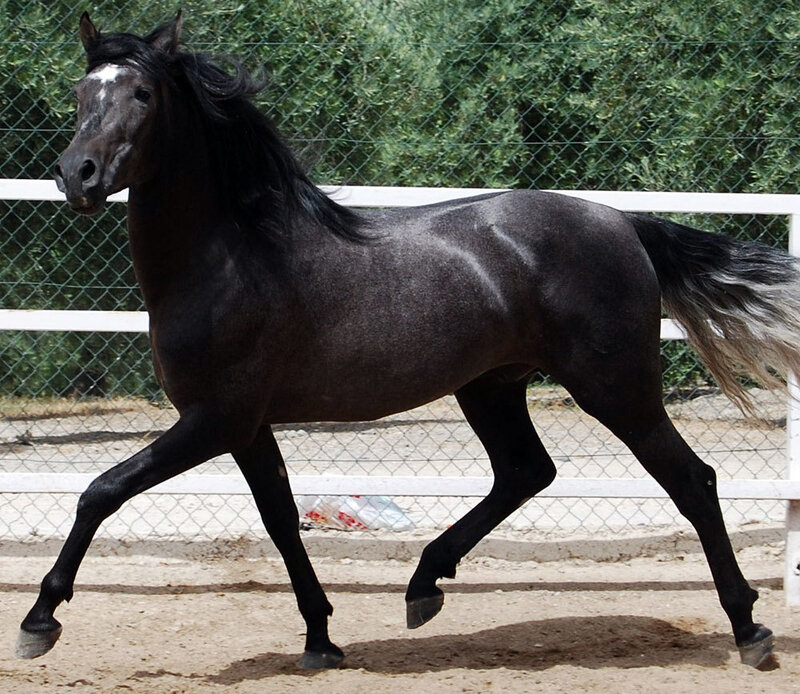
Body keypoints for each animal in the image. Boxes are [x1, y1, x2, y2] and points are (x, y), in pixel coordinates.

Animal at [18, 11, 798, 669]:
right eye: (82, 89)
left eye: (143, 92)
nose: (77, 176)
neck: (232, 257)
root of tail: (623, 224)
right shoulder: (247, 427)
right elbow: (281, 520)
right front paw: (321, 639)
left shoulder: (214, 420)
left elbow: (101, 491)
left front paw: (39, 620)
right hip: (492, 387)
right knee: (526, 472)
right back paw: (424, 585)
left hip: (616, 387)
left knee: (691, 481)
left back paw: (750, 629)